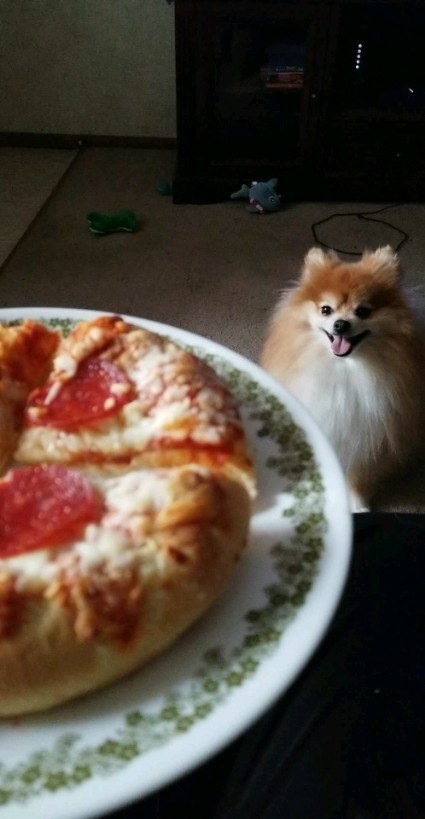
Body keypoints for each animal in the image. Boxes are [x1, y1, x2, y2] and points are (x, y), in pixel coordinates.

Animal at [258, 247, 424, 510]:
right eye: (326, 309)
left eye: (363, 311)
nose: (341, 324)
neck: (342, 369)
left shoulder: (366, 434)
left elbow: (358, 475)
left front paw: (357, 504)